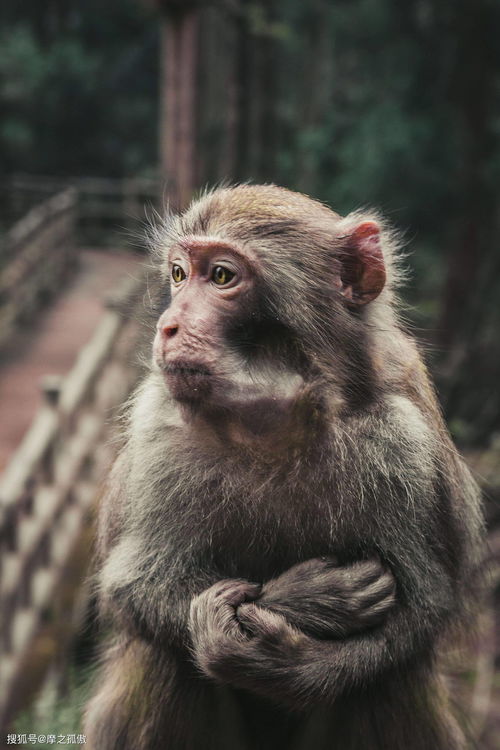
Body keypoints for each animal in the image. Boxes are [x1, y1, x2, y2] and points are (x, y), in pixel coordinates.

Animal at [84, 184, 482, 750]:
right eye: (179, 274)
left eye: (222, 277)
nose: (168, 325)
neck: (272, 418)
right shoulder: (158, 433)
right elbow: (137, 584)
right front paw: (308, 602)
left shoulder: (403, 443)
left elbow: (424, 609)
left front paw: (297, 664)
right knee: (167, 661)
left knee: (389, 684)